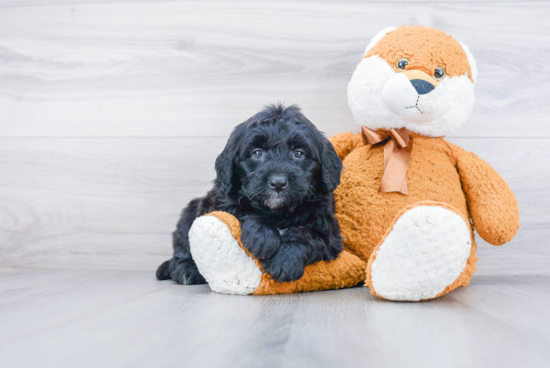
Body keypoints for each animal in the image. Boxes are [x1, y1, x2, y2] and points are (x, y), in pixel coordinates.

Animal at [156, 103, 344, 284]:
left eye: (298, 153)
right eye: (257, 153)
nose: (278, 182)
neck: (279, 212)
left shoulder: (330, 232)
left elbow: (309, 235)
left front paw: (285, 260)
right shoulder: (221, 202)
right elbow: (242, 211)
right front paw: (263, 236)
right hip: (189, 213)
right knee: (182, 247)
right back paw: (186, 270)